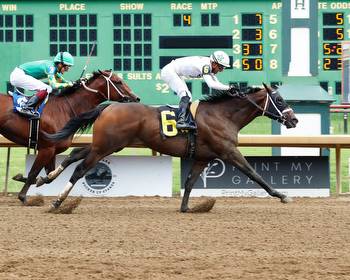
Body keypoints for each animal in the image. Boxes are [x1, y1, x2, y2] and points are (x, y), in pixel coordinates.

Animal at [0, 69, 139, 203]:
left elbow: (48, 176)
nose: (136, 98)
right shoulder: (46, 149)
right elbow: (33, 172)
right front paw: (22, 196)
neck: (65, 108)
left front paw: (23, 178)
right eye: (118, 81)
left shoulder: (51, 151)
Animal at [41, 84, 298, 211]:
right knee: (80, 169)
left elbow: (190, 181)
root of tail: (108, 106)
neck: (222, 115)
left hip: (107, 144)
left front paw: (186, 207)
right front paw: (282, 195)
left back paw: (46, 178)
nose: (294, 120)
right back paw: (58, 201)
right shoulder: (229, 152)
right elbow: (254, 174)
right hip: (105, 147)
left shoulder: (203, 157)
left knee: (75, 154)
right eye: (280, 100)